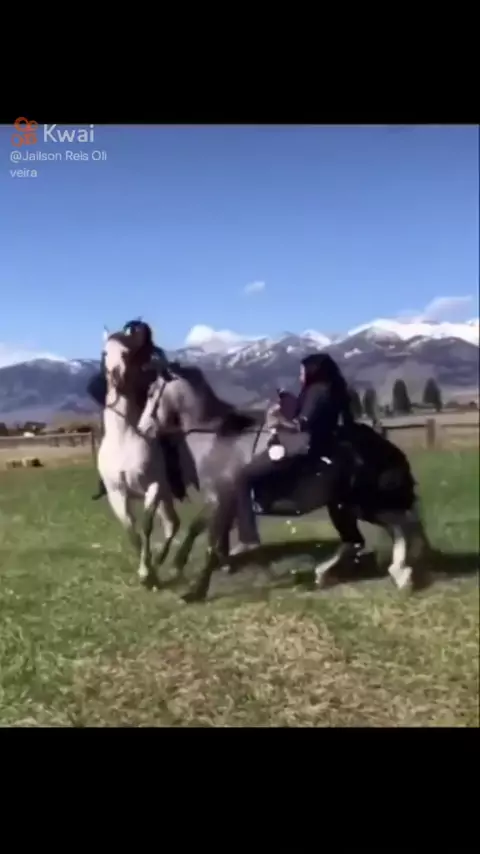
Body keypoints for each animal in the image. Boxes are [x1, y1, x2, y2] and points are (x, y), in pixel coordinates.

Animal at [97, 329, 182, 586]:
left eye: (127, 353)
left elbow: (145, 527)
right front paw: (145, 568)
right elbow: (131, 531)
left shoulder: (152, 488)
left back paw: (161, 559)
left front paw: (148, 573)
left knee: (172, 524)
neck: (124, 438)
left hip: (164, 492)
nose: (116, 379)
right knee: (171, 523)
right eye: (105, 353)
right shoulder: (117, 493)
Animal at [138, 362, 432, 603]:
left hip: (364, 504)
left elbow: (211, 542)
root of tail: (385, 447)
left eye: (152, 393)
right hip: (348, 506)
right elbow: (197, 529)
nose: (142, 430)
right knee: (371, 536)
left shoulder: (223, 499)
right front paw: (174, 565)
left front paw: (195, 591)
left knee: (404, 526)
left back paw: (403, 572)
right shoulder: (218, 499)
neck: (217, 439)